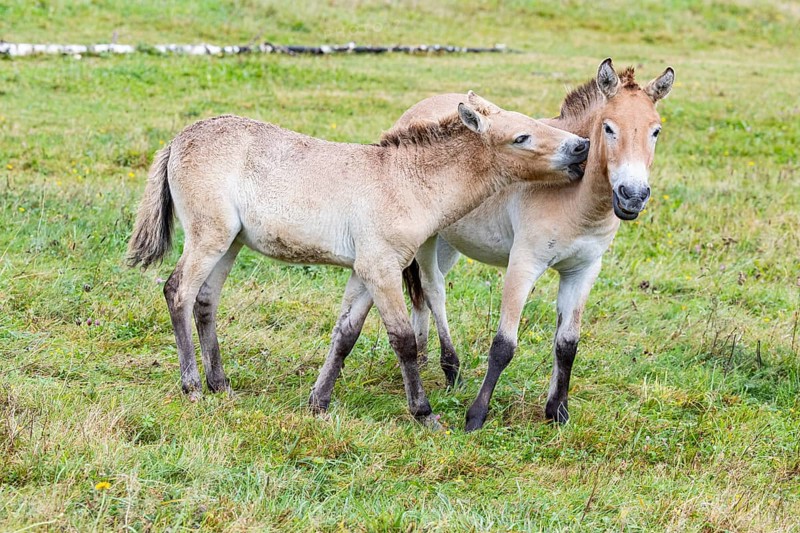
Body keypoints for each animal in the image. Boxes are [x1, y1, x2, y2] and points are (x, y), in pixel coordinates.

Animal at [127, 92, 590, 427]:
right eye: (521, 137)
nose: (581, 147)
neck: (405, 182)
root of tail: (178, 140)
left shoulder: (364, 273)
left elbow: (345, 335)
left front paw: (318, 401)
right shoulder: (380, 269)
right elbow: (403, 340)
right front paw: (424, 414)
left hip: (231, 243)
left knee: (206, 301)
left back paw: (220, 384)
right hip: (210, 236)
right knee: (179, 292)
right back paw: (192, 386)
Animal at [398, 59, 674, 430]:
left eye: (655, 131)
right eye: (609, 128)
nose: (632, 196)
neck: (576, 200)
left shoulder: (583, 271)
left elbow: (567, 344)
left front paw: (557, 411)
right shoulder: (524, 263)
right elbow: (503, 345)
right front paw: (476, 416)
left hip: (449, 244)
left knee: (422, 295)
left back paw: (425, 355)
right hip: (428, 239)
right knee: (433, 288)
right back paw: (450, 370)